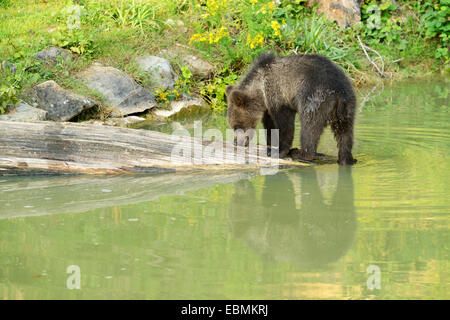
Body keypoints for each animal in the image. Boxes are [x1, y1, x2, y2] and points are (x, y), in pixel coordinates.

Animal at [227, 52, 356, 165]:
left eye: (237, 126)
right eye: (233, 127)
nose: (236, 142)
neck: (261, 89)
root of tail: (339, 93)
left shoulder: (279, 95)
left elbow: (284, 124)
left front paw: (279, 151)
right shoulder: (269, 104)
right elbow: (270, 125)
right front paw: (271, 145)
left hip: (315, 99)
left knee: (309, 128)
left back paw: (301, 154)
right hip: (347, 106)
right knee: (345, 133)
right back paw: (346, 159)